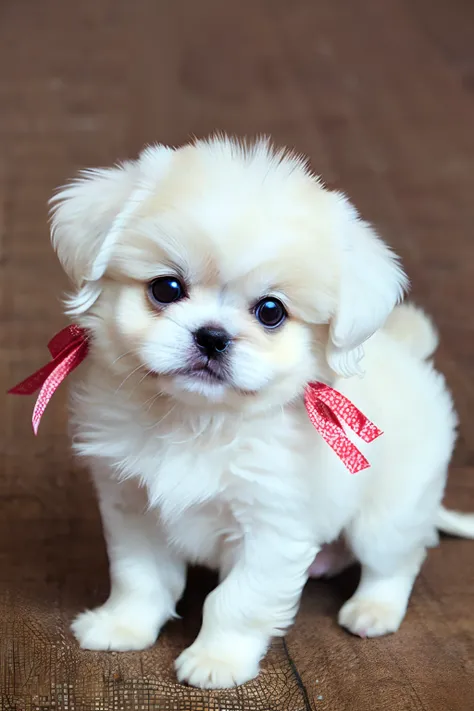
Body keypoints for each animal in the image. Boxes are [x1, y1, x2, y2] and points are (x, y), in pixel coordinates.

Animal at [47, 136, 474, 688]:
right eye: (166, 288)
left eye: (271, 312)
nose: (212, 336)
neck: (200, 422)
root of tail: (412, 355)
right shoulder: (133, 509)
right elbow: (140, 577)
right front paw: (123, 626)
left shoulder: (271, 530)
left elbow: (236, 602)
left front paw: (217, 660)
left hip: (389, 515)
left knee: (396, 562)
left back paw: (373, 610)